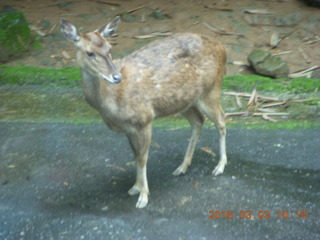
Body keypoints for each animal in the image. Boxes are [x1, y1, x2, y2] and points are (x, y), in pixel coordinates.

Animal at [60, 16, 228, 208]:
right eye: (89, 53)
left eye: (110, 48)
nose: (116, 77)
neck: (112, 103)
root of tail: (223, 49)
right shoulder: (128, 127)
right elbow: (135, 156)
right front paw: (135, 187)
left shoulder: (144, 119)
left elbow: (142, 158)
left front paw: (143, 197)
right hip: (182, 101)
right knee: (198, 120)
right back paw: (182, 167)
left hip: (210, 89)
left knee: (221, 119)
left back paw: (219, 166)